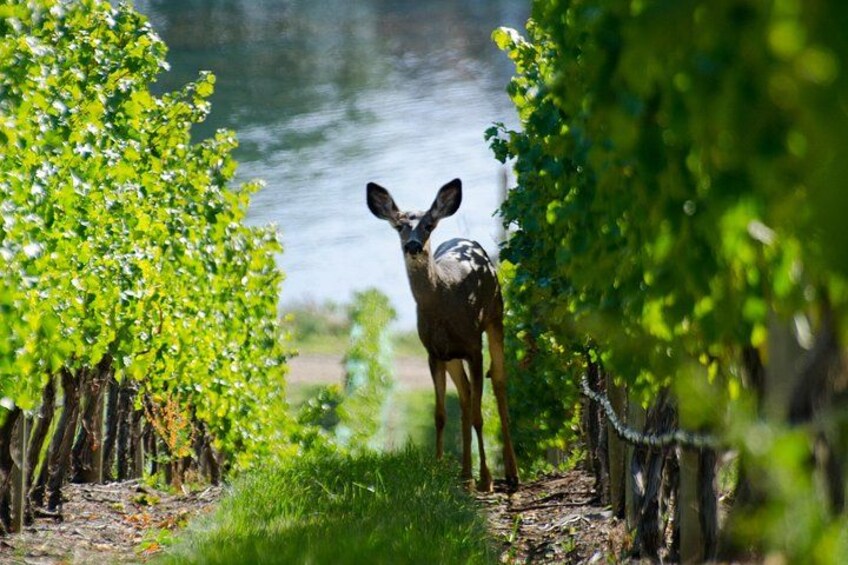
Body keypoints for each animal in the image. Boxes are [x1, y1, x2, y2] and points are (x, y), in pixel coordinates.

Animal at [366, 178, 519, 491]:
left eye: (428, 225)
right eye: (399, 226)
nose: (413, 245)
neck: (444, 301)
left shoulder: (473, 347)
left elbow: (479, 415)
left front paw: (487, 479)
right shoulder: (433, 352)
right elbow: (440, 414)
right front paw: (437, 468)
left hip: (495, 316)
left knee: (498, 381)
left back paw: (510, 473)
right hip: (452, 356)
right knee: (465, 395)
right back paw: (465, 473)